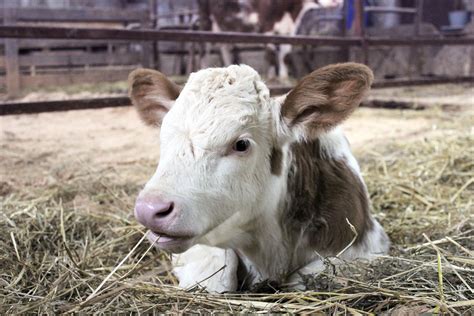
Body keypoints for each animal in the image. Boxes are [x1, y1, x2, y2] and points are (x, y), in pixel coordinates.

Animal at [129, 63, 388, 292]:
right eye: (163, 136)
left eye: (241, 144)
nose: (150, 208)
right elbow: (219, 274)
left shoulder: (370, 245)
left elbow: (304, 276)